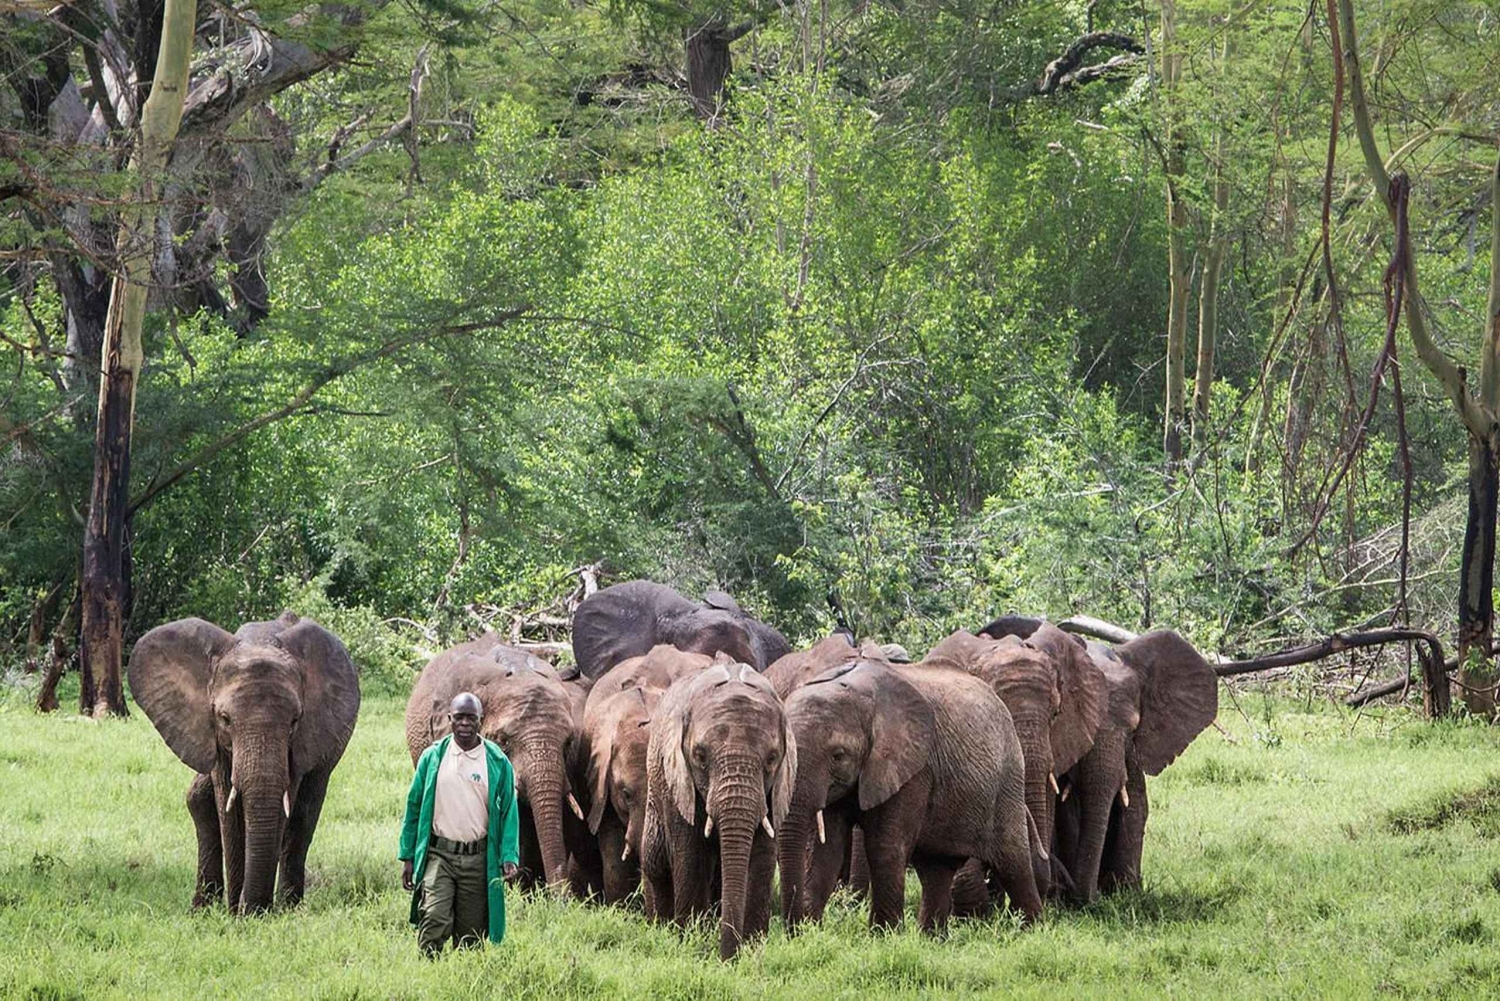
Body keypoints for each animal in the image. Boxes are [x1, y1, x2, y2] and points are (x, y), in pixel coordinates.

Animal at [128, 611, 360, 914]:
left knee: (304, 813)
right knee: (199, 799)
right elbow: (227, 806)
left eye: (295, 721)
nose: (248, 907)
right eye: (224, 718)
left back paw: (288, 907)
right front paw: (236, 912)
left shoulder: (301, 740)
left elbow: (283, 805)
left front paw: (251, 912)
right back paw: (203, 908)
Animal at [641, 656, 797, 960]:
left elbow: (761, 856)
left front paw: (751, 946)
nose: (727, 960)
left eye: (772, 758)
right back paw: (661, 928)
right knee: (655, 860)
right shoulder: (679, 784)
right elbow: (691, 855)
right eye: (700, 756)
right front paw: (693, 942)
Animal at [778, 655, 1043, 934]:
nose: (794, 931)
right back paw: (932, 938)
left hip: (1008, 781)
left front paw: (883, 936)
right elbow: (828, 850)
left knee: (1013, 863)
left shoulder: (914, 769)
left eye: (838, 756)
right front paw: (812, 930)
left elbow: (885, 847)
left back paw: (1032, 931)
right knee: (935, 870)